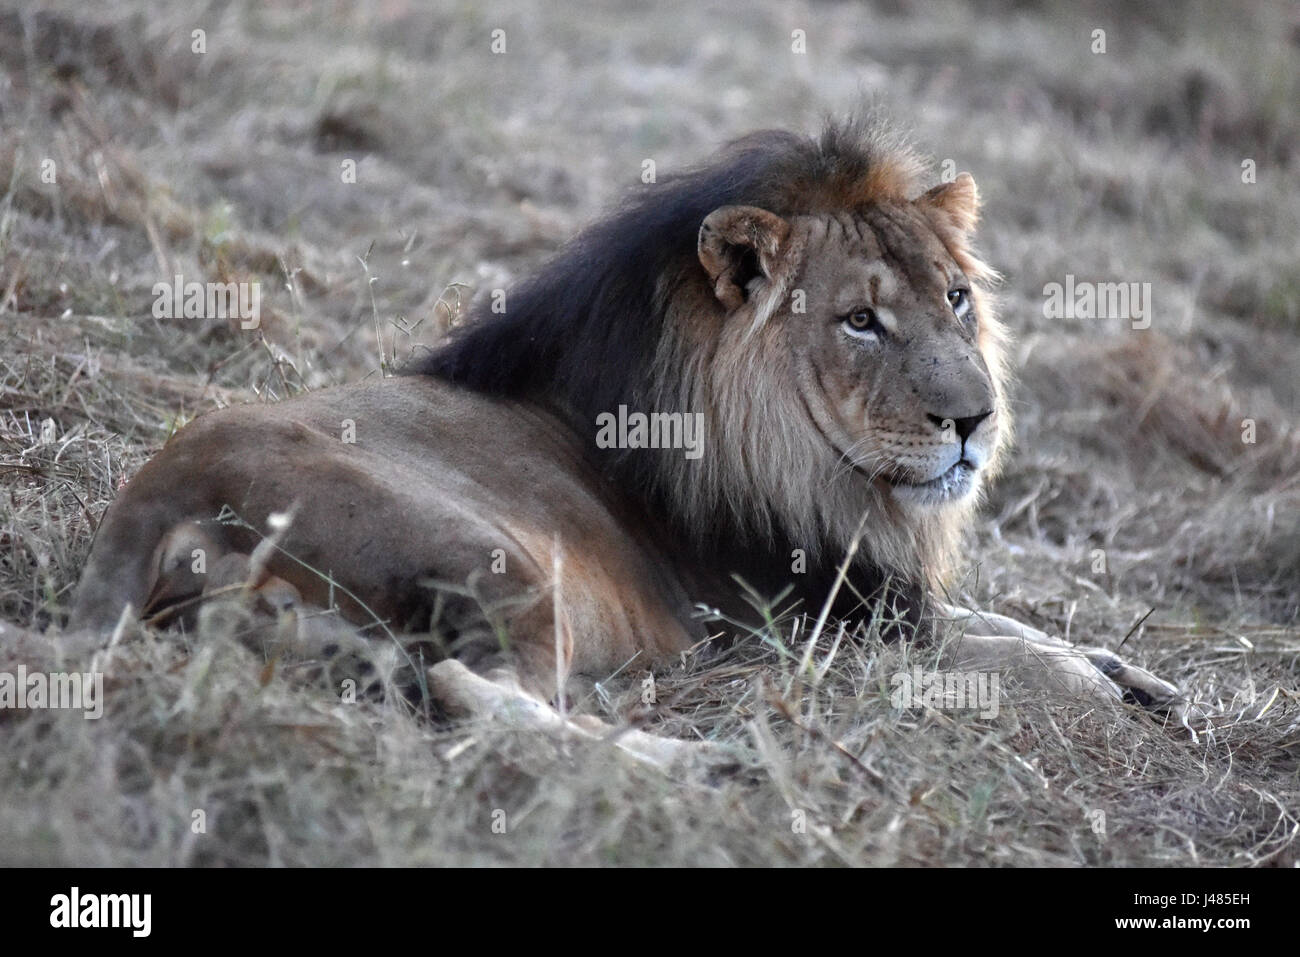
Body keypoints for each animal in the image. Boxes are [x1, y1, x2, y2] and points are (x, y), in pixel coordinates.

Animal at [68, 117, 1187, 765]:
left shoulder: (862, 586)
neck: (819, 472)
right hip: (497, 560)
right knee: (470, 693)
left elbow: (1004, 624)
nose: (973, 419)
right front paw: (1097, 690)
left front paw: (1139, 676)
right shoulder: (786, 618)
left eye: (956, 297)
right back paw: (700, 765)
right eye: (860, 321)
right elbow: (992, 646)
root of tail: (154, 496)